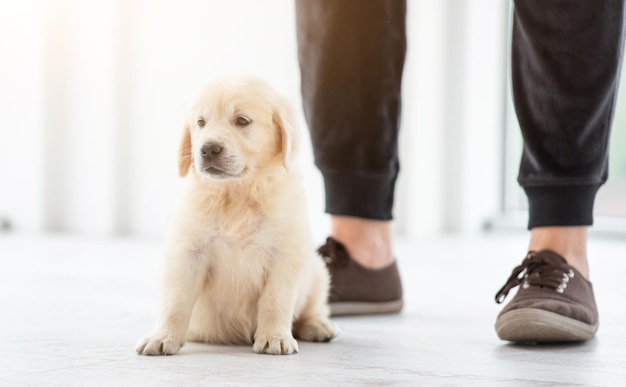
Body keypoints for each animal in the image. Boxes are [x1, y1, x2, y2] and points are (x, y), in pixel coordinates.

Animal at [135, 74, 336, 356]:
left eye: (242, 120)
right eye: (201, 122)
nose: (208, 149)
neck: (236, 195)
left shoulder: (285, 256)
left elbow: (275, 301)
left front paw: (274, 337)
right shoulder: (187, 253)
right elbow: (175, 302)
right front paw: (162, 337)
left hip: (317, 272)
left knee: (313, 307)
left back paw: (317, 325)